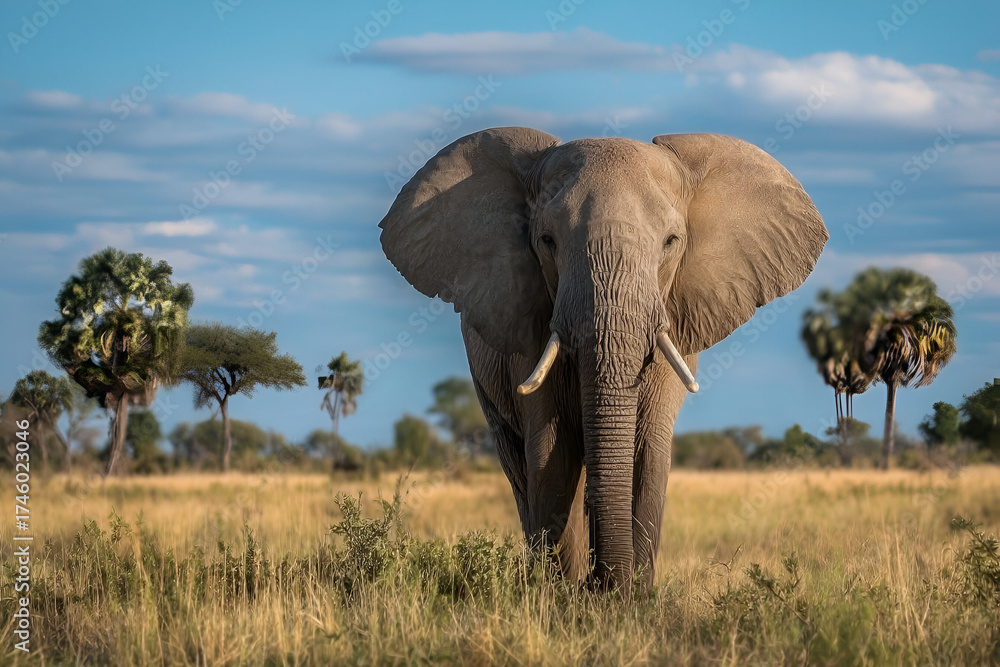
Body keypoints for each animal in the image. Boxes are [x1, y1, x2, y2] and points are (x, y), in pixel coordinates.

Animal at [379, 127, 828, 590]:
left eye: (671, 242)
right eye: (547, 241)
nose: (601, 584)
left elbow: (646, 451)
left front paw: (630, 595)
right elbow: (553, 452)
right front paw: (564, 592)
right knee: (520, 467)